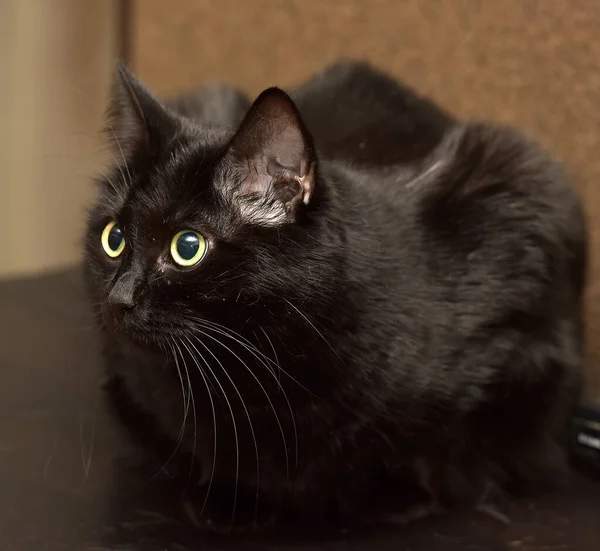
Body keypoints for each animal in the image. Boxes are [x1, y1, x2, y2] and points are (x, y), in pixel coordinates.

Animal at [84, 62, 584, 532]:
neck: (266, 368)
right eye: (114, 239)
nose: (118, 298)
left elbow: (442, 439)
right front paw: (231, 498)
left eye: (187, 248)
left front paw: (394, 494)